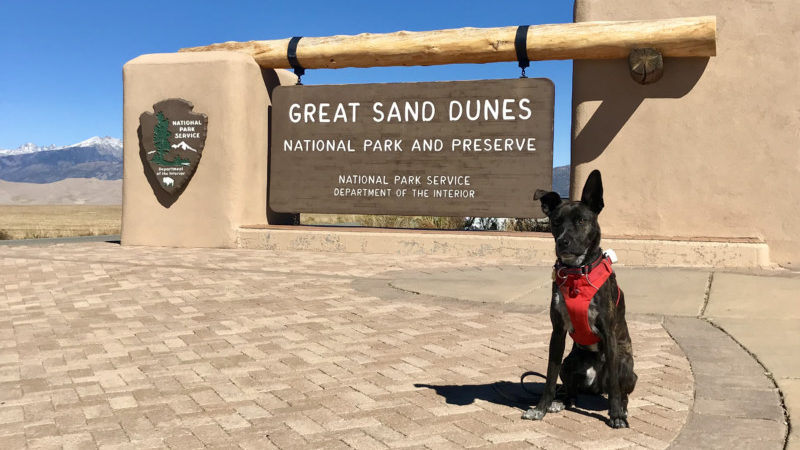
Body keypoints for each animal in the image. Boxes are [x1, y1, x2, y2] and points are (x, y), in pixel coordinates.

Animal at [524, 170, 636, 428]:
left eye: (581, 221)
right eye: (556, 222)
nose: (562, 242)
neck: (577, 274)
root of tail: (595, 387)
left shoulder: (609, 332)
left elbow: (615, 388)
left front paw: (616, 415)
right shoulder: (557, 332)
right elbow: (549, 377)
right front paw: (540, 409)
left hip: (627, 367)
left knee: (619, 389)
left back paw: (622, 409)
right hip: (570, 363)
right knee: (570, 389)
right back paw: (561, 402)